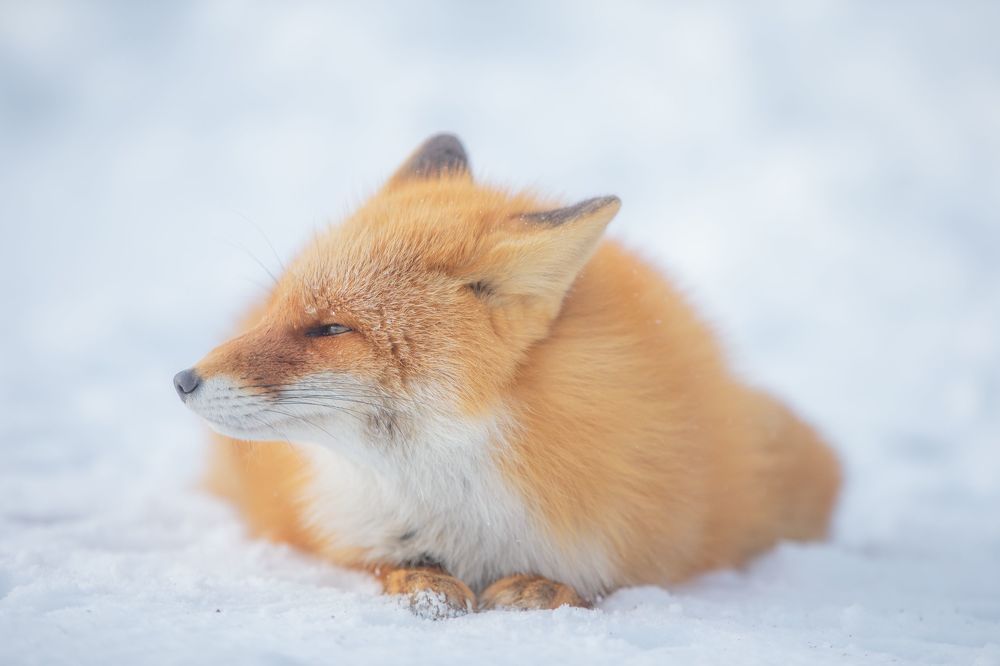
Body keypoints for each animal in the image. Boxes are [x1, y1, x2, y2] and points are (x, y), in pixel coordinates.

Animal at [174, 134, 840, 617]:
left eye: (332, 329)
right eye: (277, 308)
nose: (182, 380)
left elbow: (597, 582)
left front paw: (547, 589)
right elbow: (389, 563)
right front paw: (419, 581)